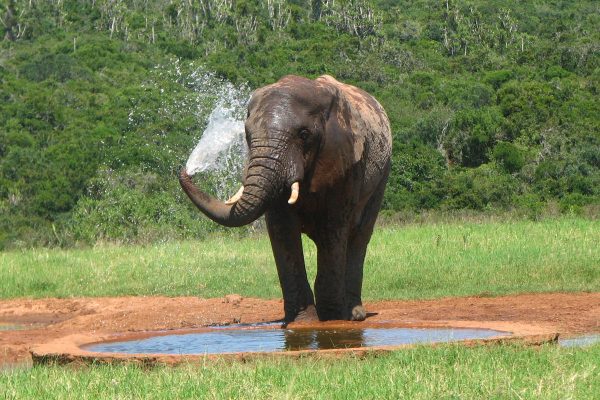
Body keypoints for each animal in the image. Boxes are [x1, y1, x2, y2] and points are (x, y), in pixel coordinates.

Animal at [180, 75, 392, 322]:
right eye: (247, 136)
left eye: (304, 135)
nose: (186, 170)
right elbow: (282, 228)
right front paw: (302, 321)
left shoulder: (346, 161)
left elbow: (333, 226)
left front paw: (331, 319)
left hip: (382, 175)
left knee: (359, 236)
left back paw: (355, 315)